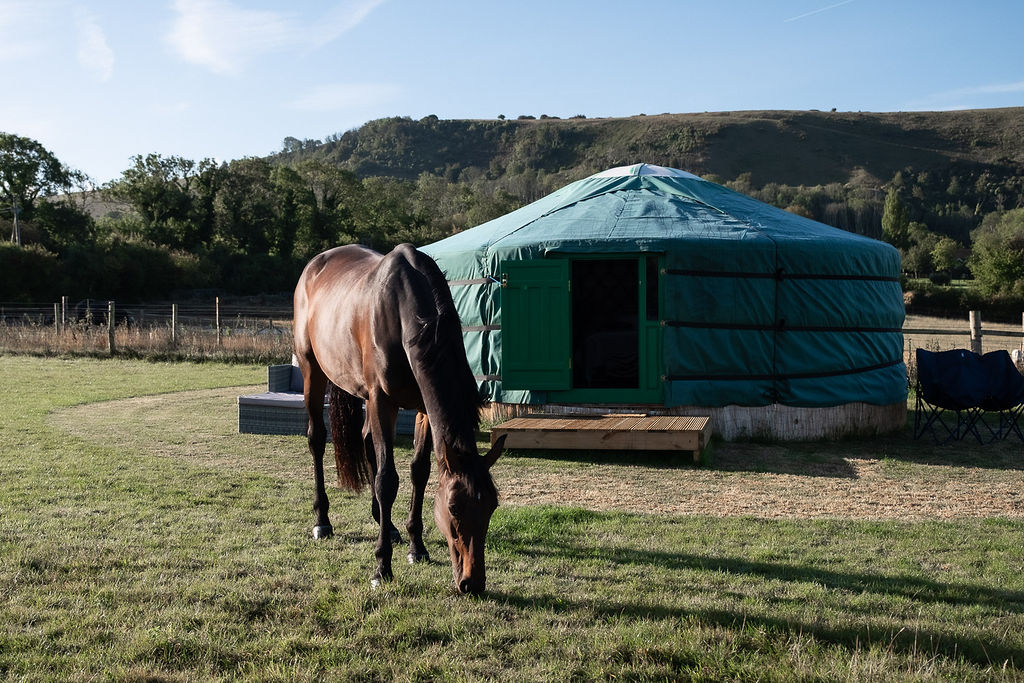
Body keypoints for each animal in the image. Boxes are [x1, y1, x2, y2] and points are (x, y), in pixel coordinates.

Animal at [293, 243, 506, 594]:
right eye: (453, 508)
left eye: (492, 506)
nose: (472, 583)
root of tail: (313, 266)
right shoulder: (382, 402)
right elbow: (387, 480)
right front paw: (382, 567)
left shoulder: (423, 408)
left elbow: (419, 471)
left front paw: (416, 546)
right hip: (313, 370)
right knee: (317, 440)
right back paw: (322, 521)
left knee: (367, 442)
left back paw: (386, 523)